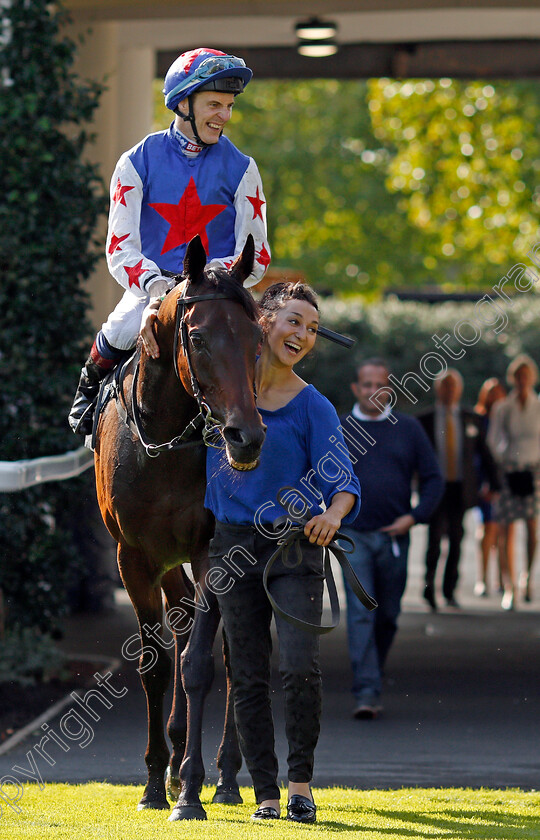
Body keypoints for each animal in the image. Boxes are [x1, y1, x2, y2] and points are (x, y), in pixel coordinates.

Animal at [95, 235, 268, 820]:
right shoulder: (134, 557)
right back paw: (171, 764)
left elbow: (199, 667)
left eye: (258, 338)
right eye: (196, 337)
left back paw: (227, 776)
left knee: (233, 654)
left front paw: (192, 790)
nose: (246, 436)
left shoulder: (211, 550)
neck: (166, 442)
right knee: (182, 618)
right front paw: (154, 782)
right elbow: (155, 665)